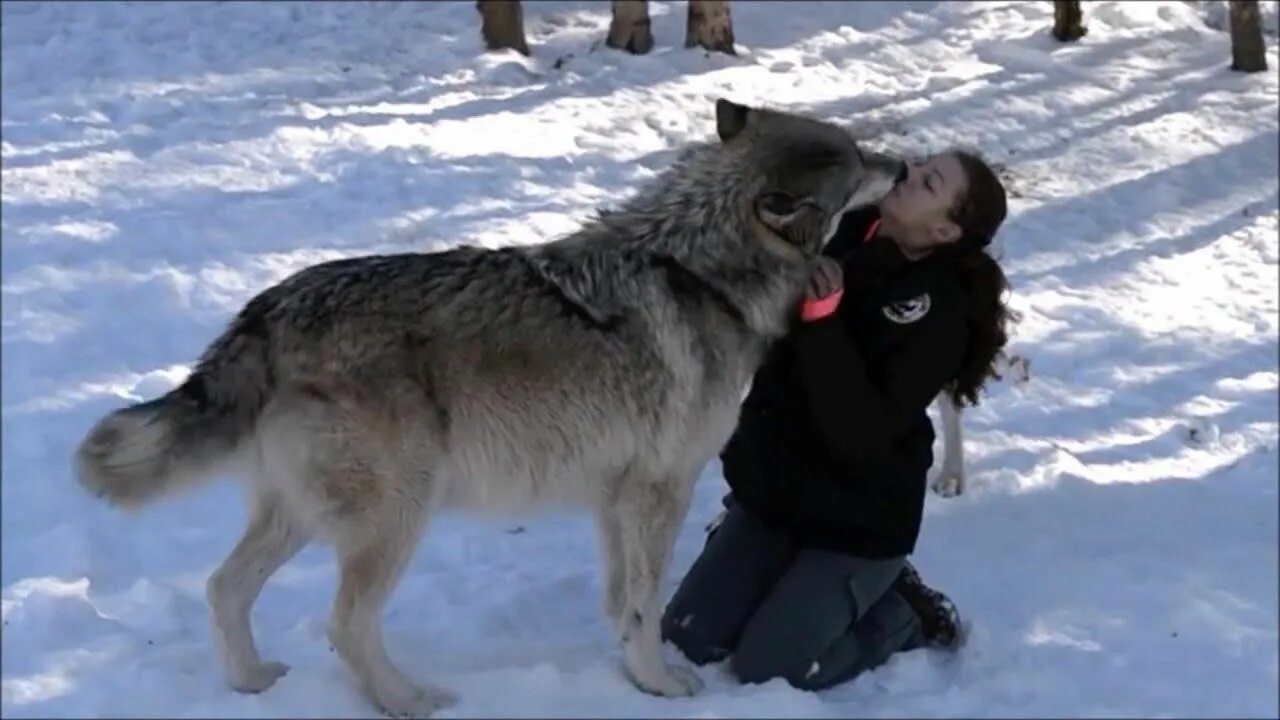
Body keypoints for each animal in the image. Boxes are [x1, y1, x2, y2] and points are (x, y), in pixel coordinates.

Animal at [74, 98, 906, 712]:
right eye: (859, 158)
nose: (902, 167)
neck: (704, 269)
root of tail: (267, 310)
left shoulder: (617, 498)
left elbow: (620, 605)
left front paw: (633, 679)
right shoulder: (659, 490)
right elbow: (645, 605)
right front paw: (664, 685)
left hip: (300, 516)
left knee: (223, 587)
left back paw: (251, 684)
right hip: (399, 513)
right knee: (345, 624)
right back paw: (409, 701)